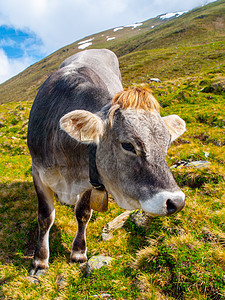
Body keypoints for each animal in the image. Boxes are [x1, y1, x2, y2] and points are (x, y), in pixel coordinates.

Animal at [27, 48, 185, 276]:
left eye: (166, 143)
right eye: (128, 145)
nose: (176, 202)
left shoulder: (89, 177)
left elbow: (83, 213)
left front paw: (78, 253)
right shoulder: (37, 172)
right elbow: (45, 217)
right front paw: (39, 261)